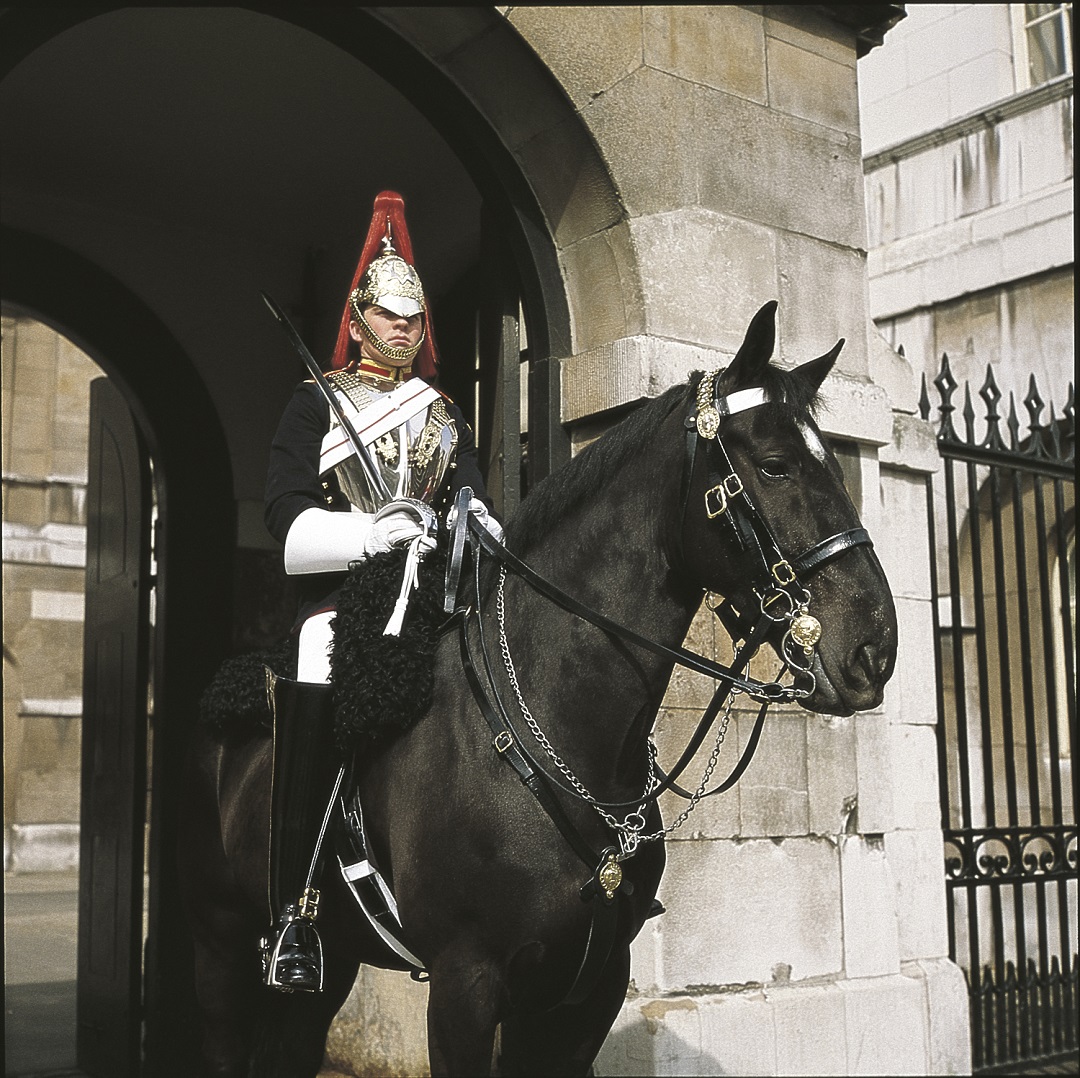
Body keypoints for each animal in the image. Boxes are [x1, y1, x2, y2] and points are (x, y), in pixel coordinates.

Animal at [181, 300, 898, 1075]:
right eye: (774, 466)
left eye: (834, 463)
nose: (876, 649)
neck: (561, 737)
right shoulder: (464, 985)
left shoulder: (585, 990)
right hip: (220, 941)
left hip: (334, 961)